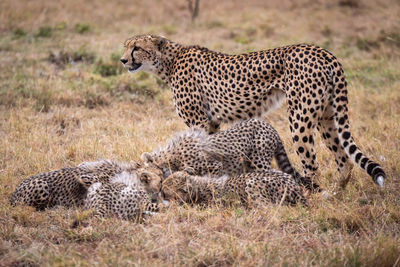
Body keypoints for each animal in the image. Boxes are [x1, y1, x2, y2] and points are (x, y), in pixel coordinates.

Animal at [11, 161, 164, 211]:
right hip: (42, 185)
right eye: (159, 175)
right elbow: (98, 177)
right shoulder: (87, 177)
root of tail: (12, 196)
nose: (163, 173)